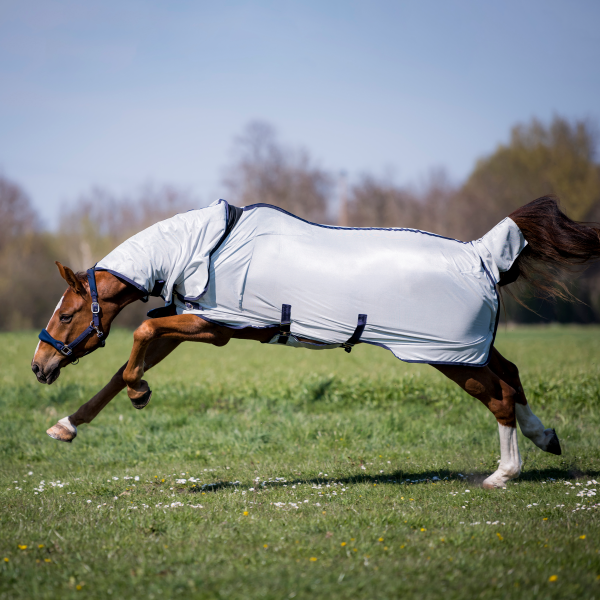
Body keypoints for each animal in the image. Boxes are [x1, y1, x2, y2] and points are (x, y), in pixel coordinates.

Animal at [31, 197, 600, 488]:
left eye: (67, 313)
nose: (38, 366)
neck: (210, 247)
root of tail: (482, 253)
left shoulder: (216, 328)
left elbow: (141, 336)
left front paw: (139, 392)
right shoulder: (196, 324)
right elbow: (122, 365)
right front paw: (67, 424)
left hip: (451, 357)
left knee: (499, 396)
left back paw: (503, 474)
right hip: (470, 350)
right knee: (513, 378)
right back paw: (545, 437)